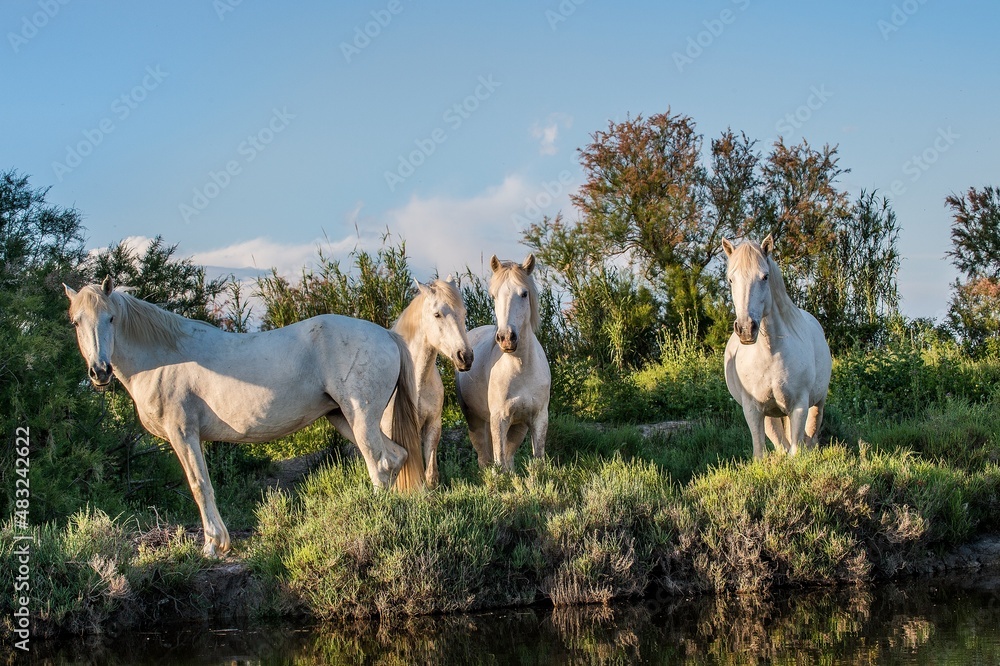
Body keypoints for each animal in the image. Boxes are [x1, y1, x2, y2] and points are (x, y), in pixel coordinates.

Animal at [64, 276, 424, 557]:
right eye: (76, 322)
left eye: (111, 318)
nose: (99, 371)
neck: (164, 357)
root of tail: (386, 335)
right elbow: (204, 484)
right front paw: (219, 542)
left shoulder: (183, 433)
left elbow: (199, 485)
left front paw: (213, 545)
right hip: (344, 418)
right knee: (396, 457)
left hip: (360, 418)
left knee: (379, 464)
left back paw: (377, 521)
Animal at [327, 277, 473, 486]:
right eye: (437, 314)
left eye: (464, 313)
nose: (465, 357)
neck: (417, 383)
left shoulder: (433, 424)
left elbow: (430, 470)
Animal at [455, 254, 550, 471]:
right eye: (493, 296)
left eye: (524, 293)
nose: (506, 338)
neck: (522, 369)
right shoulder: (499, 419)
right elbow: (499, 463)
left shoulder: (538, 418)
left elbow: (537, 460)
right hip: (476, 420)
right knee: (485, 457)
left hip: (517, 426)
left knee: (509, 457)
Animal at [721, 234, 832, 459]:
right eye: (731, 279)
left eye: (765, 277)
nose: (746, 328)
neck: (770, 352)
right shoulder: (753, 409)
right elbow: (760, 453)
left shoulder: (799, 406)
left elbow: (796, 452)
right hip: (770, 414)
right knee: (781, 443)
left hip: (817, 403)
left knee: (810, 435)